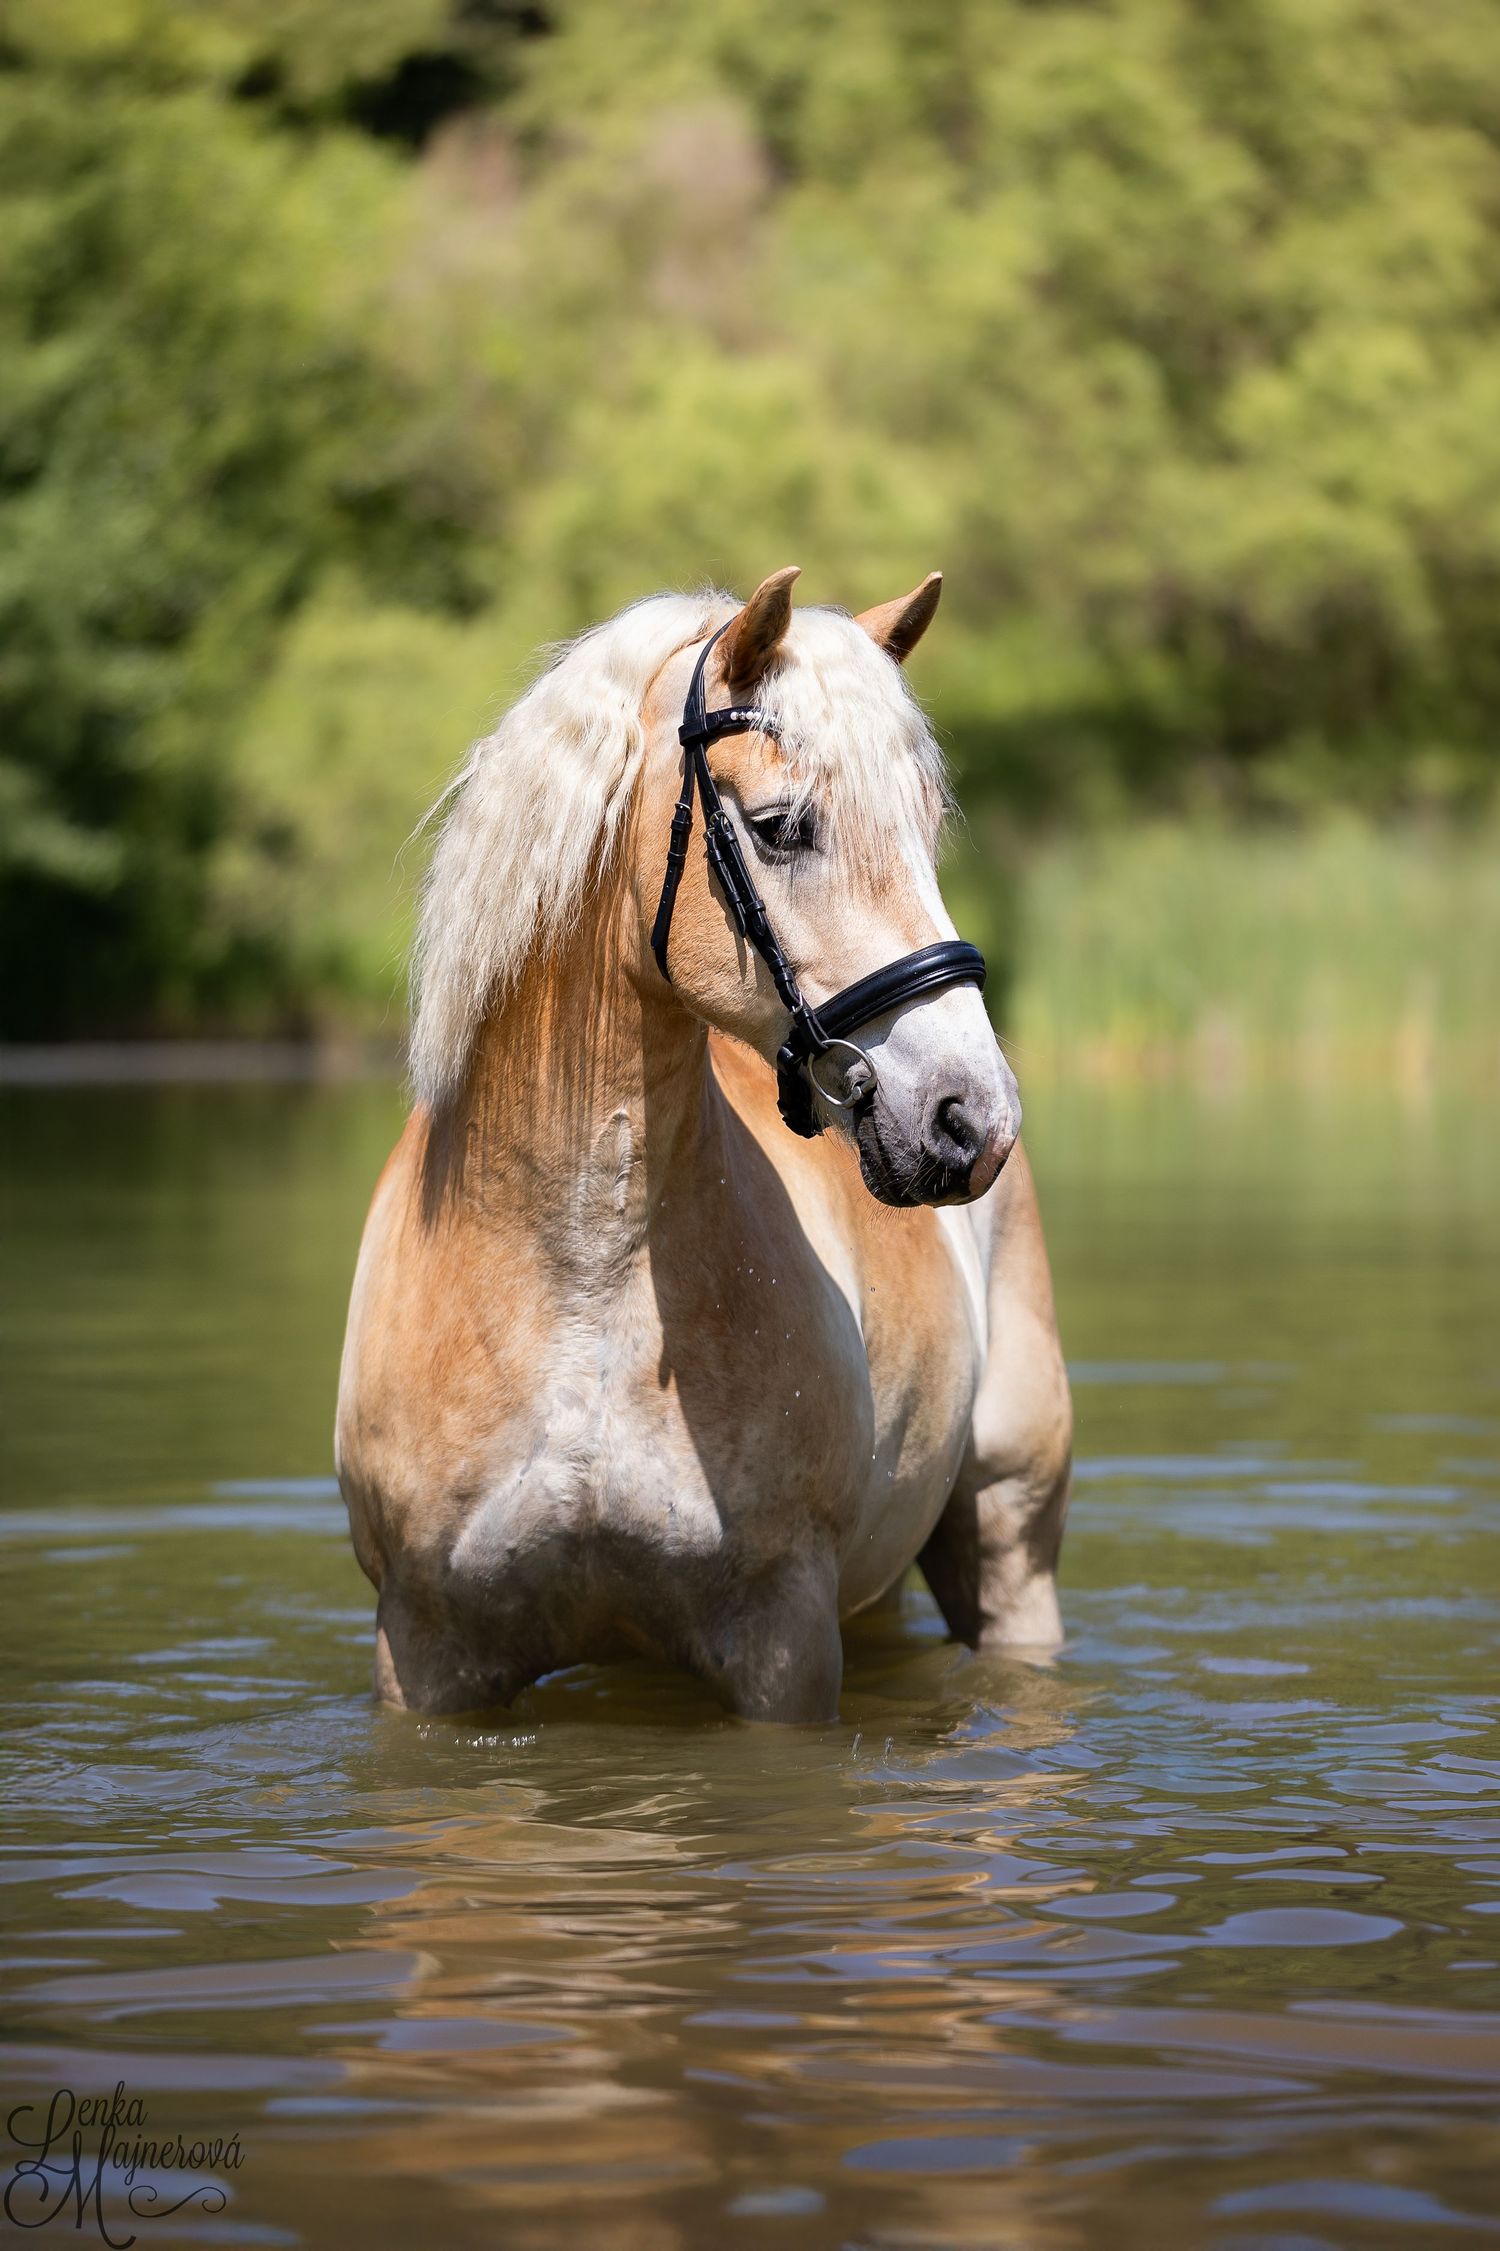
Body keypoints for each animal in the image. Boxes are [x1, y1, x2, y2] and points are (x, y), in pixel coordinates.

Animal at [335, 568, 1072, 1722]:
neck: (578, 1288)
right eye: (780, 827)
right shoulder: (425, 1650)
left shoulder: (783, 1645)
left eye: (925, 825)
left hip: (1009, 1535)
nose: (971, 1117)